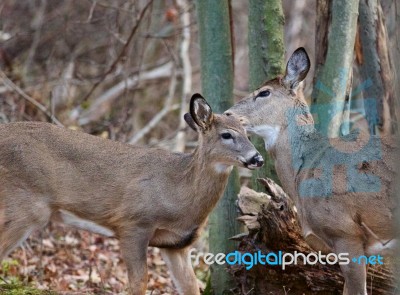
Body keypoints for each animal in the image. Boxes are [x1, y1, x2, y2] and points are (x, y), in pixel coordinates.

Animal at [0, 94, 264, 295]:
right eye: (227, 135)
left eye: (248, 134)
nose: (257, 158)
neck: (178, 193)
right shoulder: (133, 224)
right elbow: (139, 283)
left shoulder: (176, 244)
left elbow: (191, 287)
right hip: (25, 206)